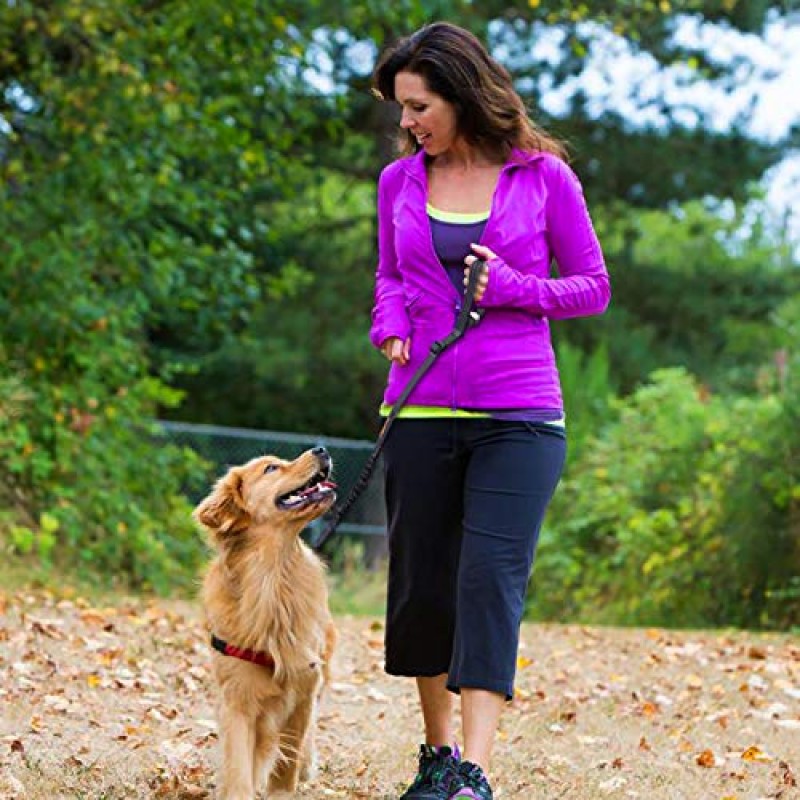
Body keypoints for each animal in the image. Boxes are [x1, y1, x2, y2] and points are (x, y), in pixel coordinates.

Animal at [197, 446, 340, 796]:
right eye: (271, 468)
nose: (322, 449)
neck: (273, 578)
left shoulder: (303, 684)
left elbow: (288, 759)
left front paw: (282, 790)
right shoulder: (237, 696)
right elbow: (238, 765)